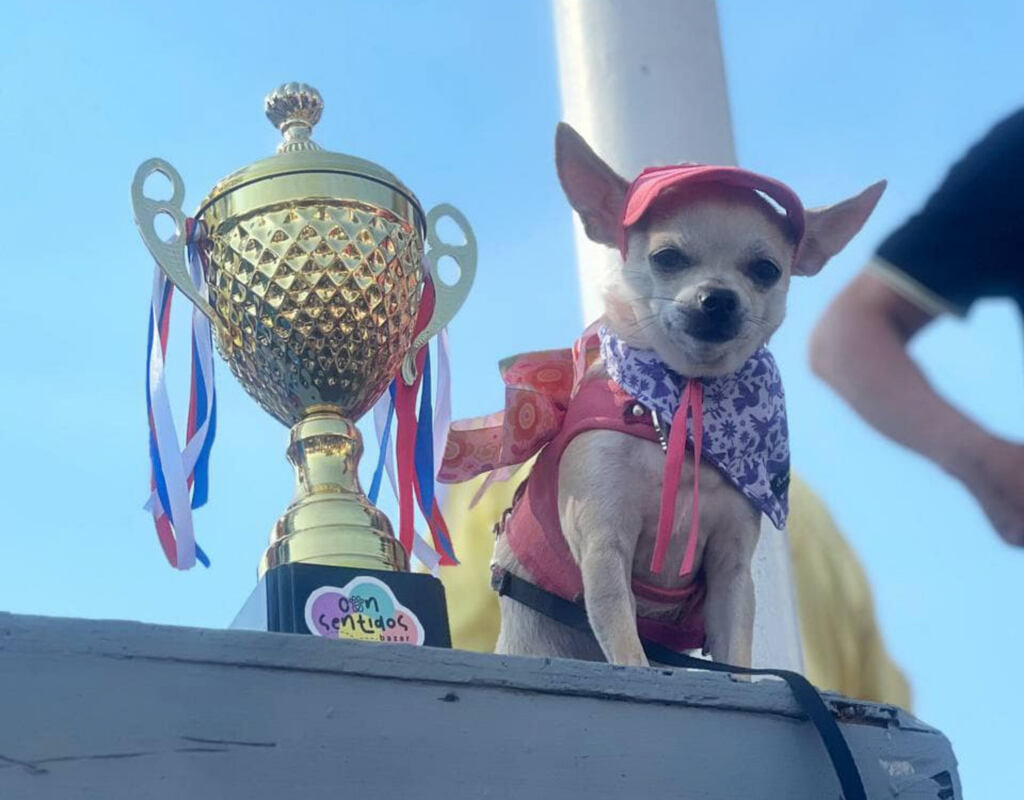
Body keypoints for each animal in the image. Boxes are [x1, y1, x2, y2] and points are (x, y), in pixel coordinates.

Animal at [483, 124, 884, 671]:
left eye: (766, 270)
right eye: (667, 258)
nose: (718, 298)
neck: (683, 403)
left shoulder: (730, 569)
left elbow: (737, 656)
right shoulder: (604, 548)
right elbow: (628, 648)